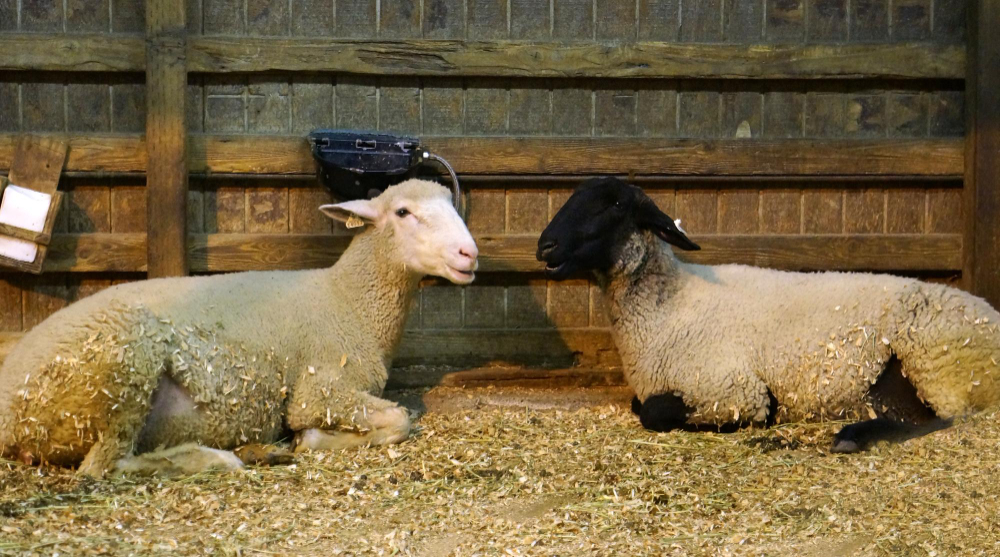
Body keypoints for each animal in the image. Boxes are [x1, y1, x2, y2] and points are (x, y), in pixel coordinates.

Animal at [0, 179, 479, 476]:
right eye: (403, 211)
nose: (469, 254)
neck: (345, 300)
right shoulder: (320, 389)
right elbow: (399, 419)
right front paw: (311, 439)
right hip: (122, 368)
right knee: (103, 467)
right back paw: (217, 459)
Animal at [537, 177, 1000, 451]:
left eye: (613, 205)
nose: (545, 246)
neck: (670, 304)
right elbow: (639, 404)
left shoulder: (732, 390)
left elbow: (654, 412)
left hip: (937, 362)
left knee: (946, 419)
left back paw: (852, 436)